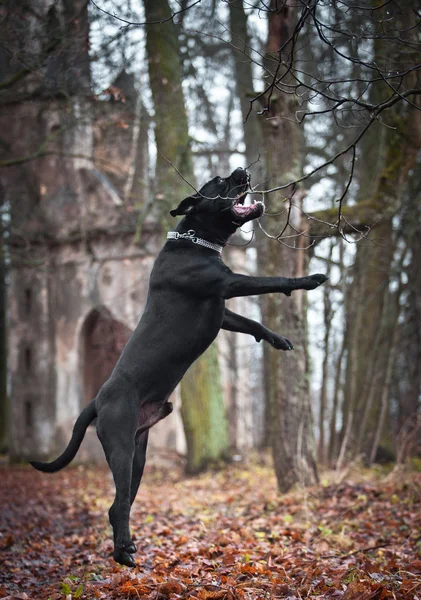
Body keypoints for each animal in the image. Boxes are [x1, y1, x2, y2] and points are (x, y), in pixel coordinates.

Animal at [32, 169, 328, 568]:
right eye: (219, 182)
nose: (241, 170)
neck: (195, 241)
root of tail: (96, 400)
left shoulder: (222, 308)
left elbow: (251, 323)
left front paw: (277, 339)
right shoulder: (227, 284)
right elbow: (271, 282)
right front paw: (308, 281)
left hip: (138, 454)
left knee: (118, 504)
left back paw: (125, 547)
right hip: (121, 449)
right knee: (118, 504)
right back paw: (123, 553)